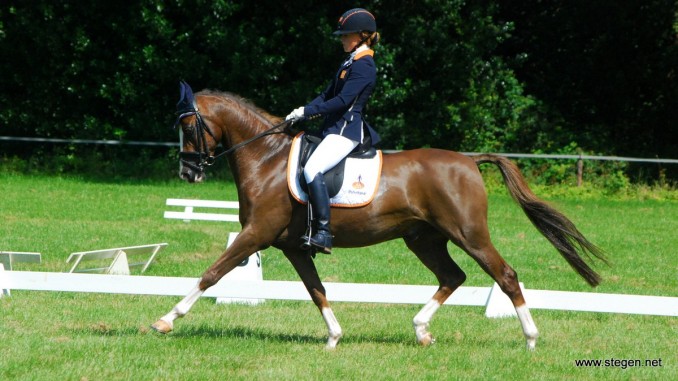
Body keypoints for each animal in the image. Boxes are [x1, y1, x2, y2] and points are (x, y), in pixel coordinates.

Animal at [151, 81, 608, 348]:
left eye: (187, 126)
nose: (188, 172)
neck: (266, 159)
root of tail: (469, 160)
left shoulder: (256, 234)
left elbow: (212, 273)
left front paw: (166, 320)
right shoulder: (293, 247)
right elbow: (316, 289)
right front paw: (334, 337)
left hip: (469, 233)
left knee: (505, 276)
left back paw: (530, 339)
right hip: (423, 238)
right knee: (452, 276)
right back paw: (421, 330)